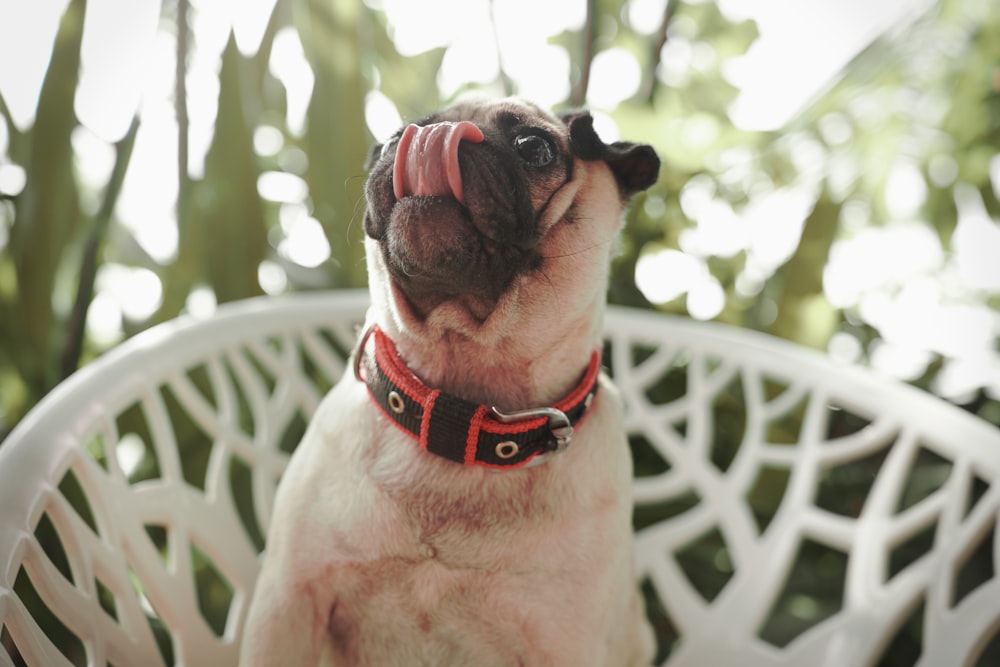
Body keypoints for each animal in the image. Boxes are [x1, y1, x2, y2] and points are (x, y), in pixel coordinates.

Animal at [241, 99, 660, 667]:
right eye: (389, 139)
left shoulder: (563, 645)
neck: (462, 406)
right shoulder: (288, 603)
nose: (433, 136)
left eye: (536, 148)